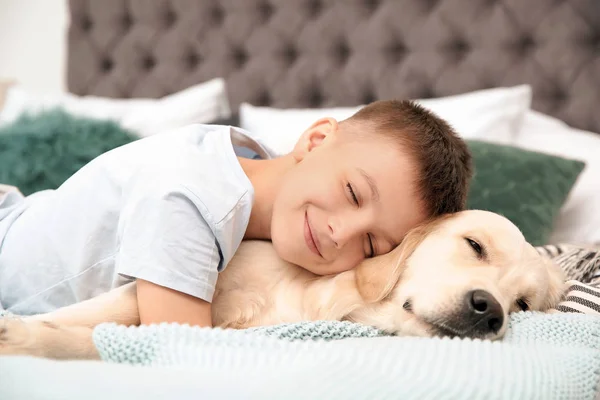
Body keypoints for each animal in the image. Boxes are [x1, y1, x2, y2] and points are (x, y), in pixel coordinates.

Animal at [0, 209, 564, 360]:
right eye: (474, 245)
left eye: (522, 304)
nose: (490, 311)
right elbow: (88, 317)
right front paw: (25, 329)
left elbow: (95, 338)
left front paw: (26, 337)